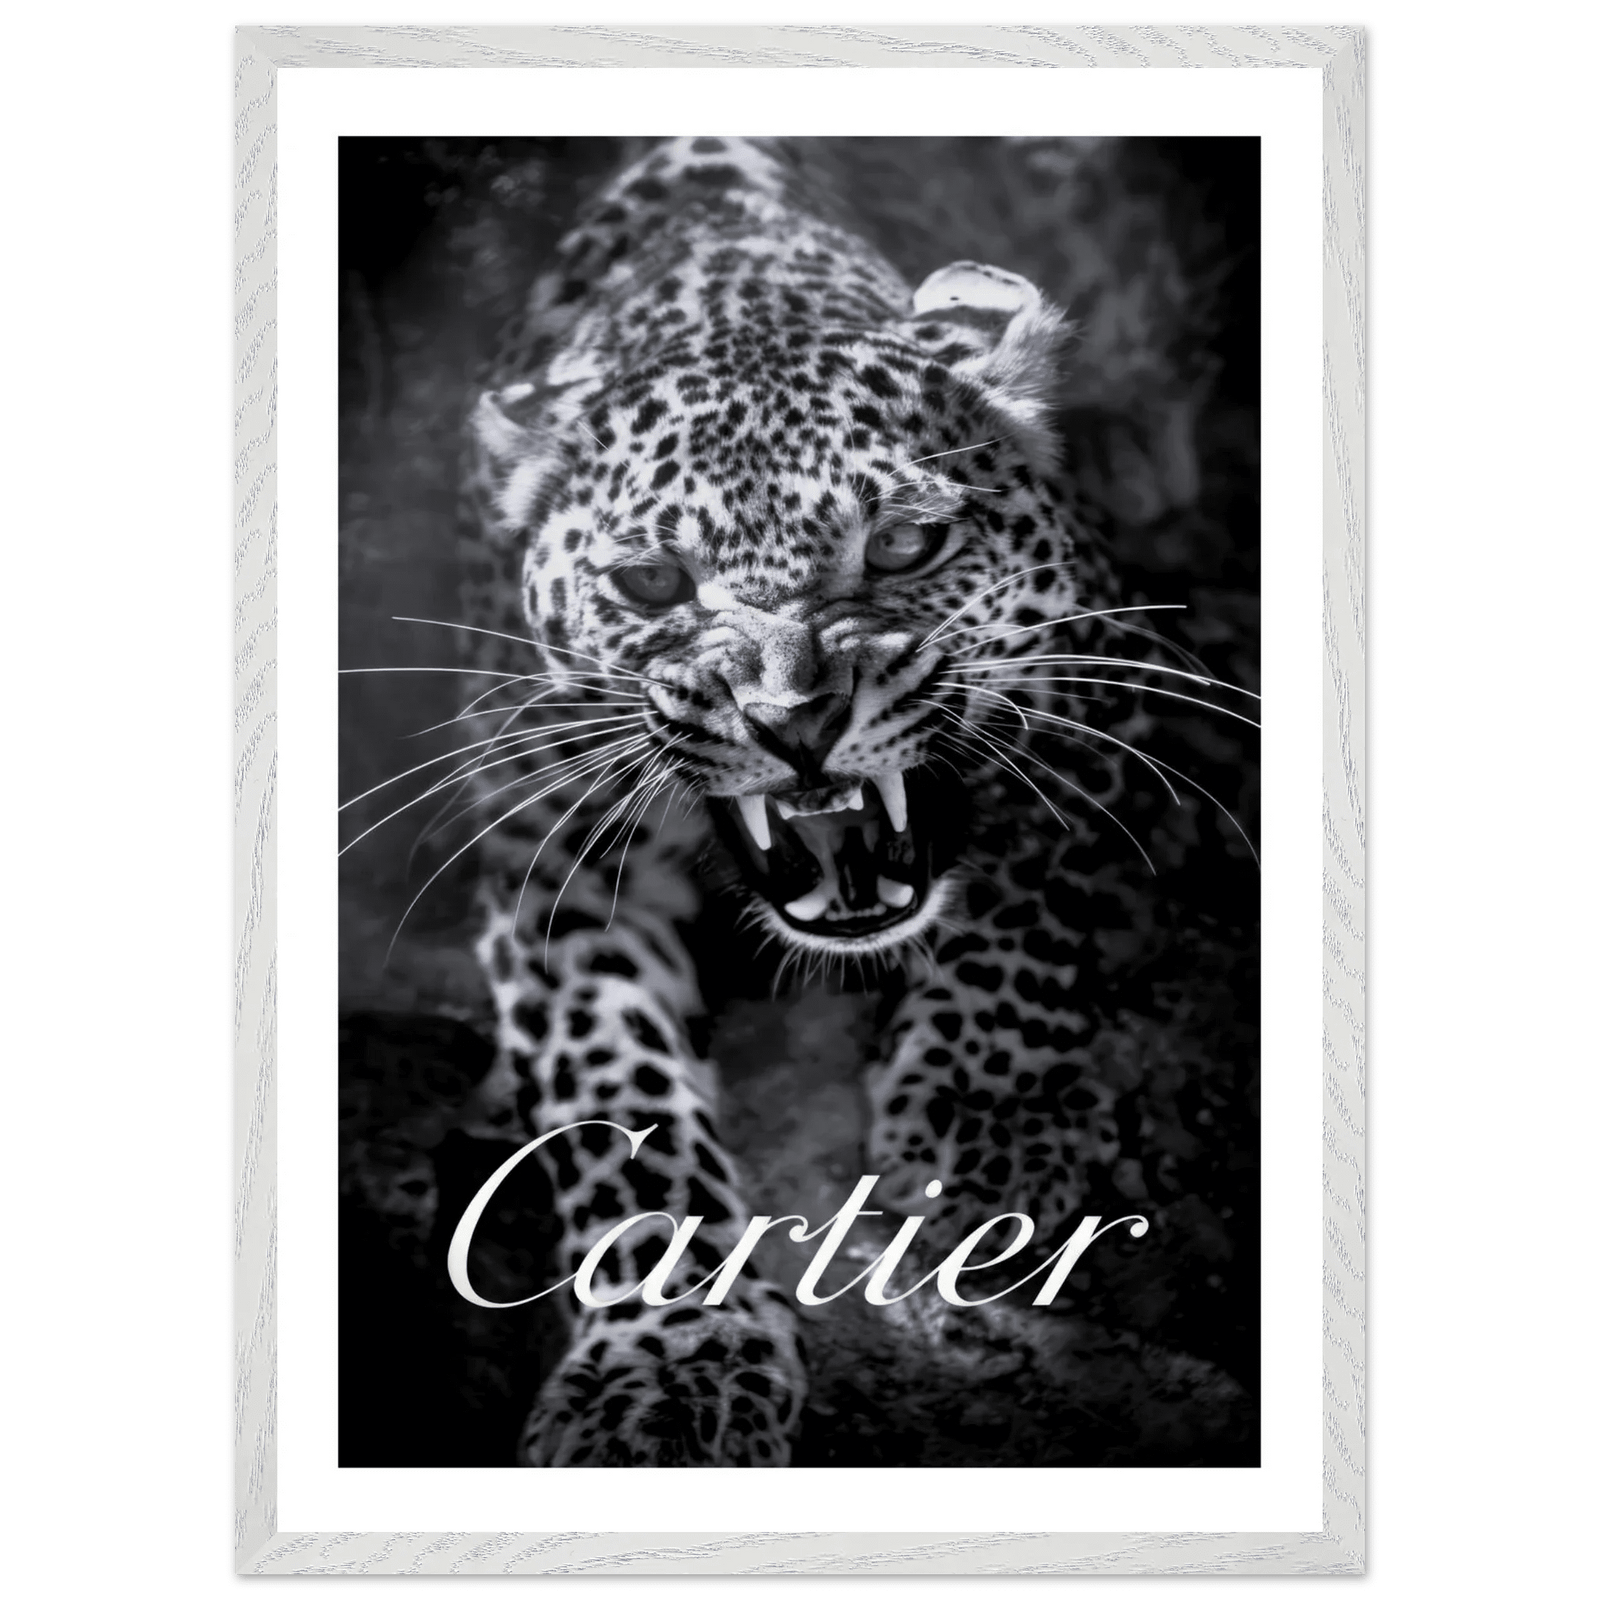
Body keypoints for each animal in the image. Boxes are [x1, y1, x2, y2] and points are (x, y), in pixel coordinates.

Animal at [351, 136, 1258, 1468]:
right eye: (649, 581)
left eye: (904, 547)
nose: (794, 721)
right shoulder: (548, 850)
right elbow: (614, 1099)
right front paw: (665, 1362)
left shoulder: (1097, 676)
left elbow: (1024, 906)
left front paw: (977, 1139)